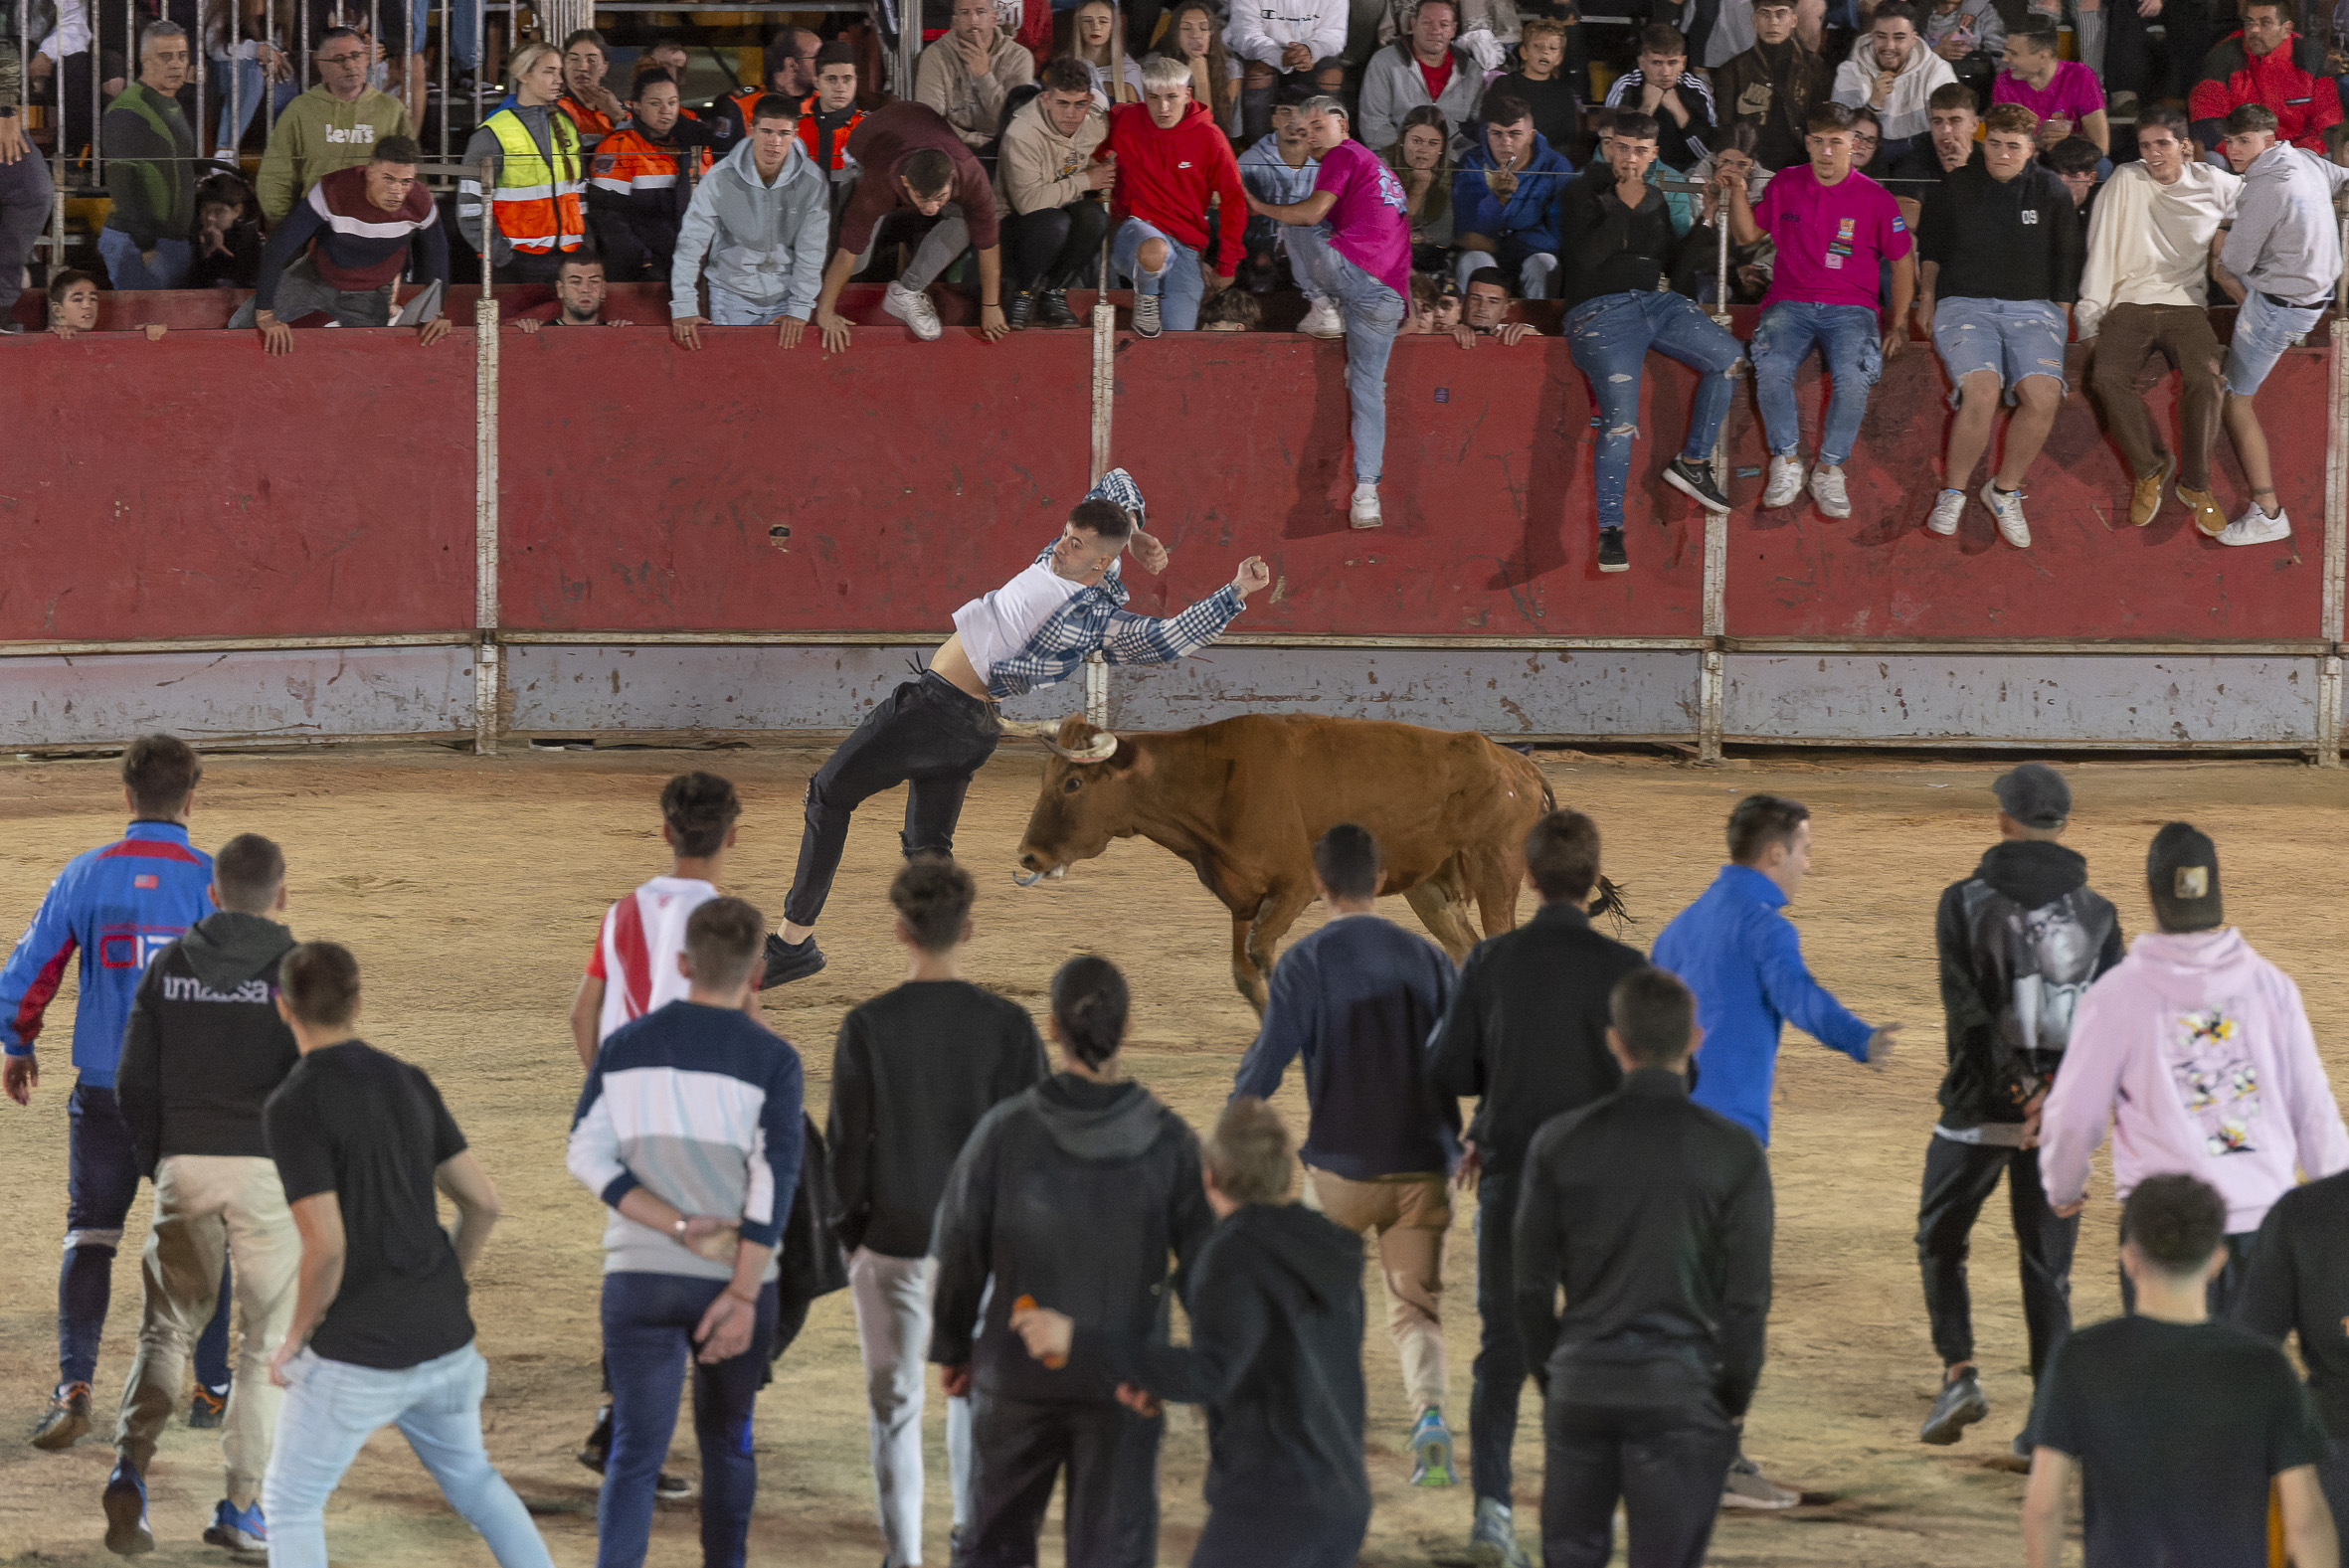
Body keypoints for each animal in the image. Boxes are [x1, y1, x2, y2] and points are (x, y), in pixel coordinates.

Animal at [1009, 713, 1616, 1009]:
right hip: (1430, 890)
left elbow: (1262, 956)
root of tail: (1518, 765)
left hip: (1494, 871)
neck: (1213, 779)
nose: (1029, 855)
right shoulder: (1242, 895)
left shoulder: (1296, 886)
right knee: (1465, 950)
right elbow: (1244, 971)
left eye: (1072, 782)